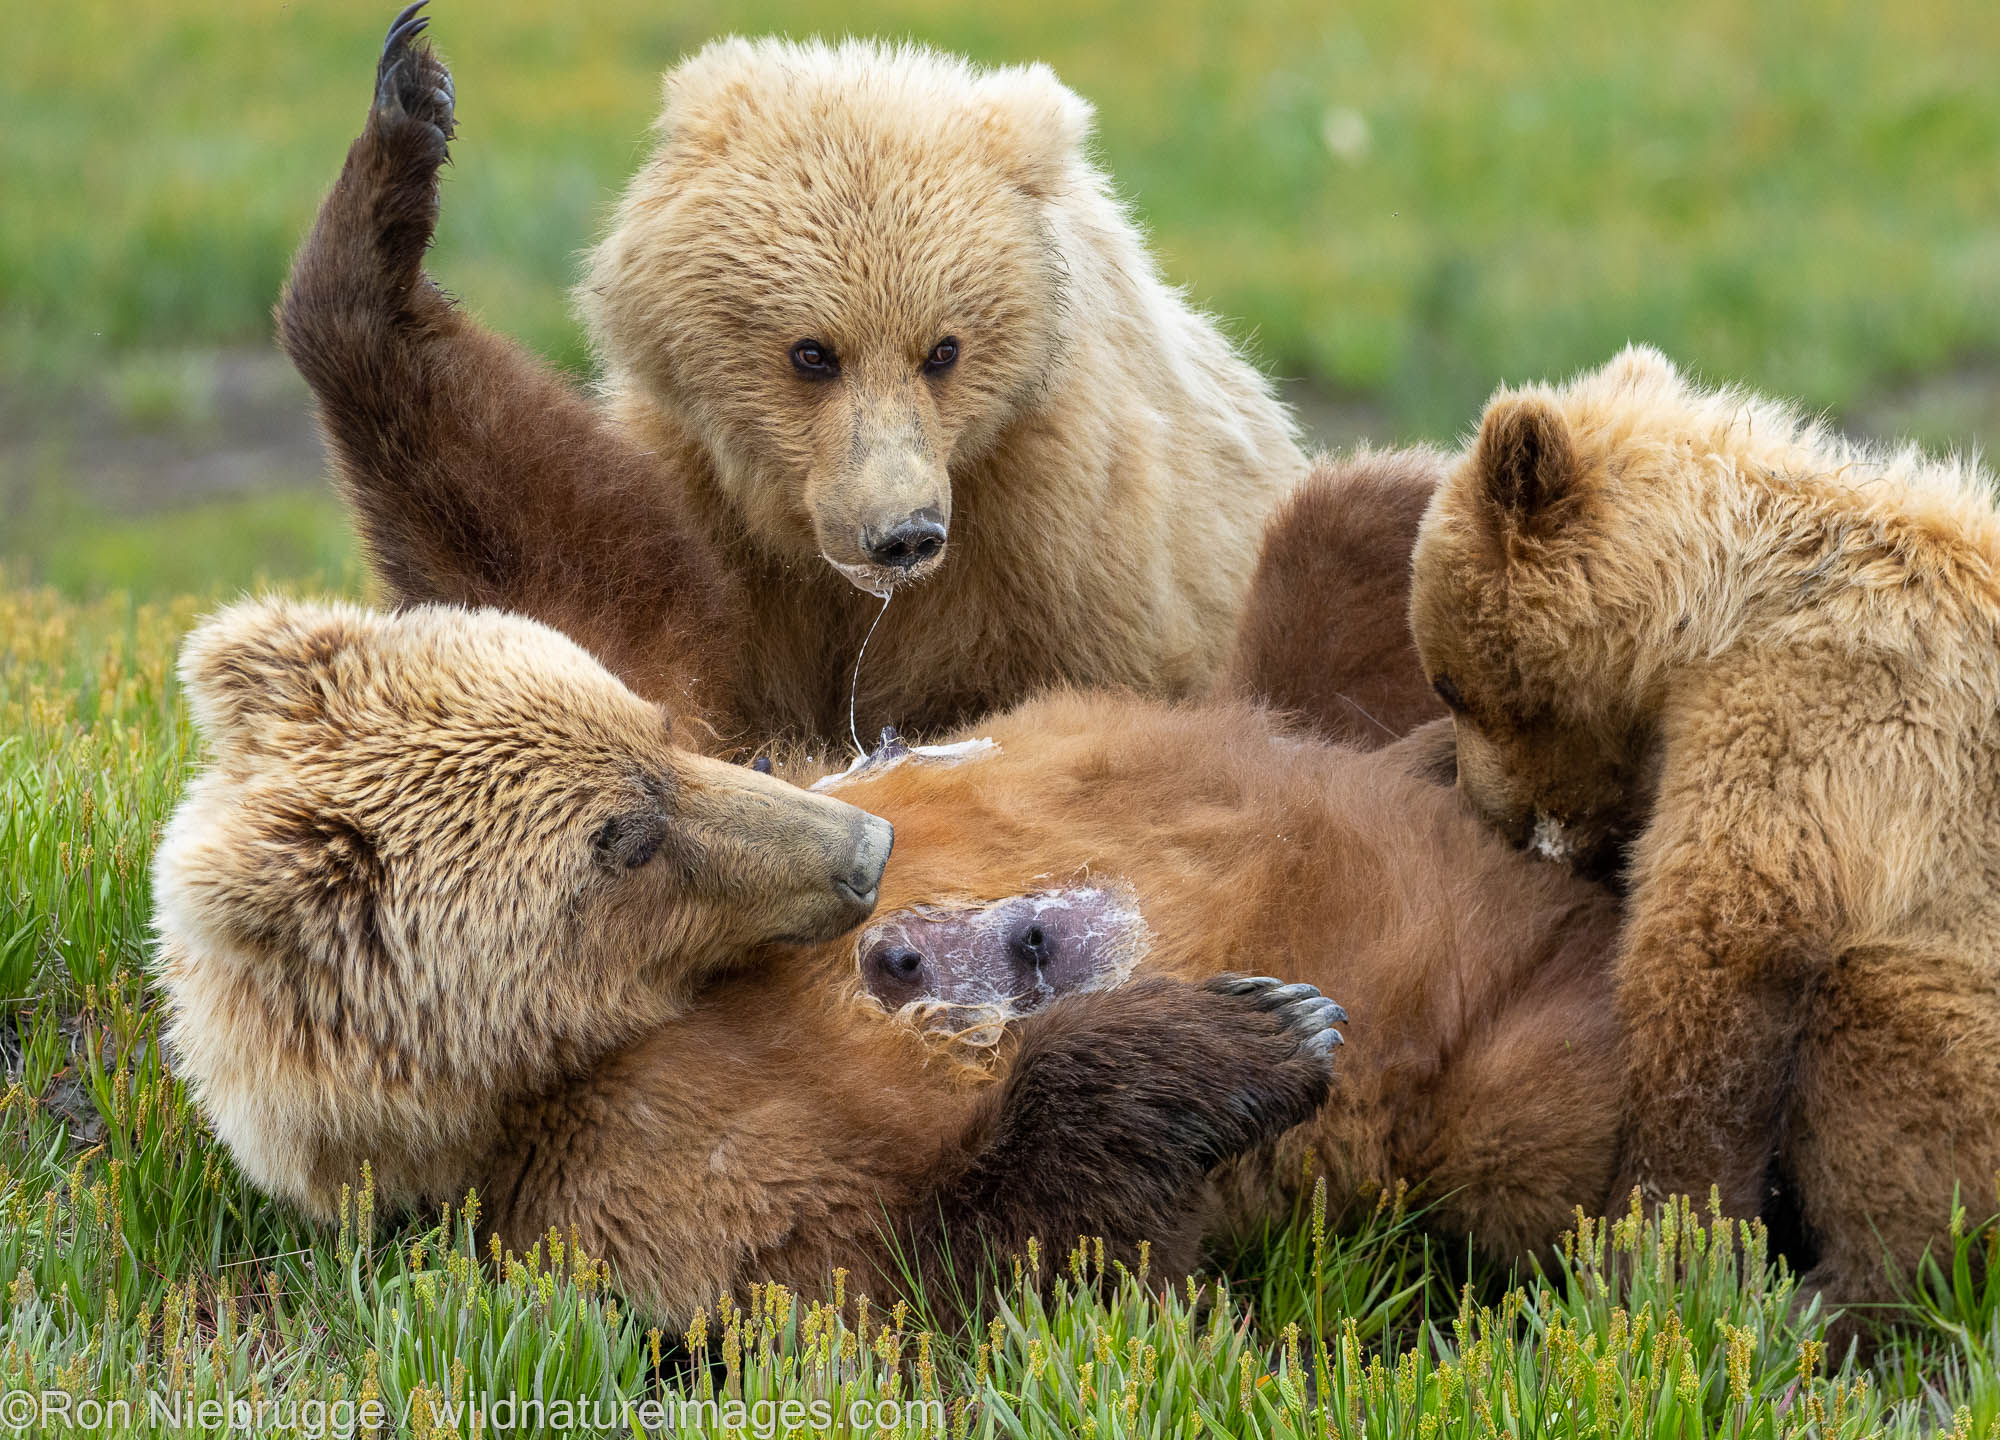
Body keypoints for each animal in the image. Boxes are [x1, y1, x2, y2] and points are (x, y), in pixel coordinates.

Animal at [152, 592, 1624, 1320]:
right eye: (623, 842)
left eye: (657, 726)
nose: (865, 849)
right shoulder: (637, 1173)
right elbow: (957, 1276)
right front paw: (1261, 1026)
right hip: (1492, 1069)